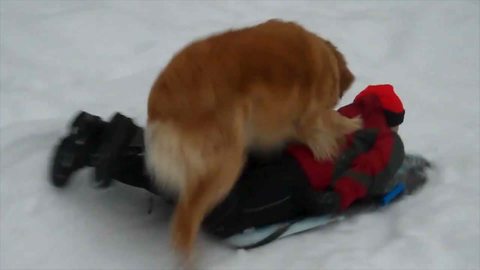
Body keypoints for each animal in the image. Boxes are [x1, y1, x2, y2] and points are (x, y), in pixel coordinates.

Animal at [145, 20, 360, 262]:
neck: (325, 60)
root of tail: (162, 105)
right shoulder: (311, 120)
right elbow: (332, 124)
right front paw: (355, 126)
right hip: (226, 162)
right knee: (186, 219)